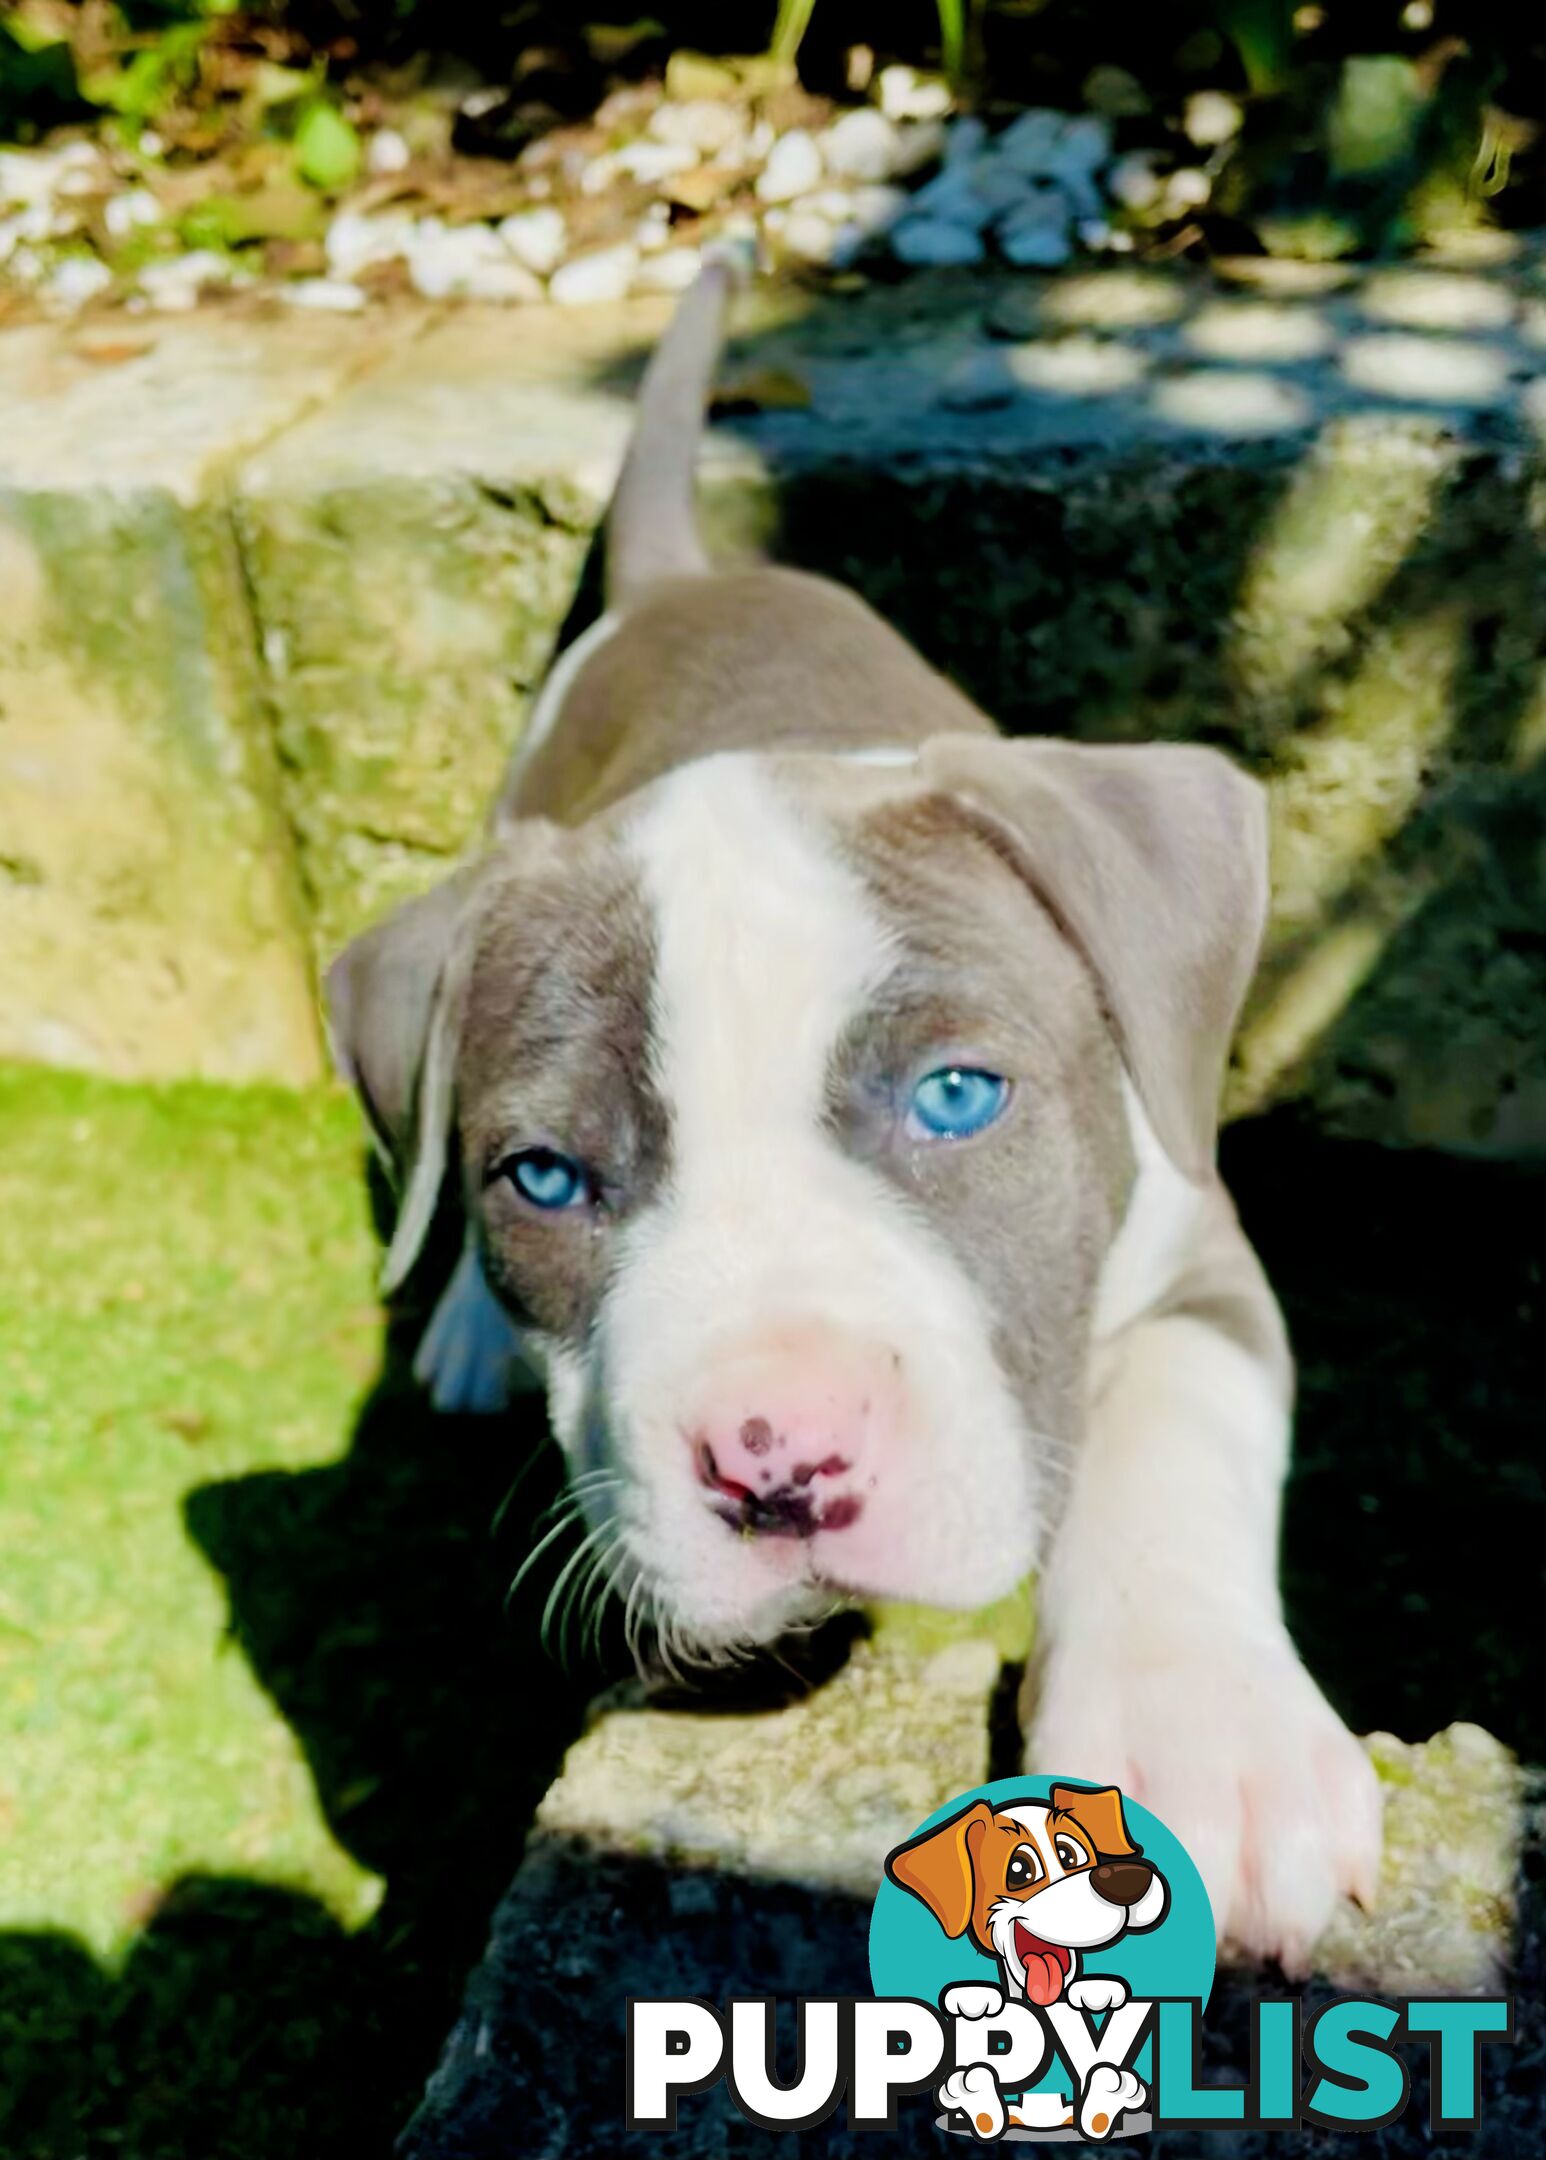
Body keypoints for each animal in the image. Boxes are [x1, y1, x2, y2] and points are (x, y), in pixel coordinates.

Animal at [326, 265, 1373, 1961]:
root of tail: (684, 582)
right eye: (540, 1179)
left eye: (955, 1095)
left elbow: (1172, 1436)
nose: (777, 1465)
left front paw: (1199, 1740)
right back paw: (469, 1334)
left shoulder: (1193, 1247)